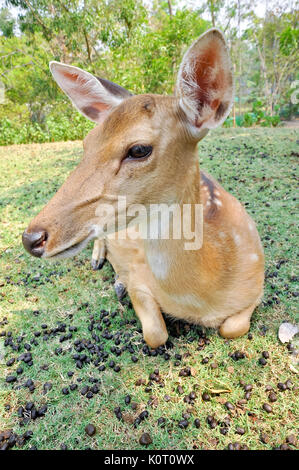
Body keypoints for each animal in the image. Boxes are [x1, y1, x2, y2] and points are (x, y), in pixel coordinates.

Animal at [21, 27, 264, 346]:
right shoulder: (139, 275)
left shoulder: (257, 286)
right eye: (87, 143)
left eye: (138, 149)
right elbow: (155, 334)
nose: (32, 238)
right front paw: (121, 285)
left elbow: (233, 327)